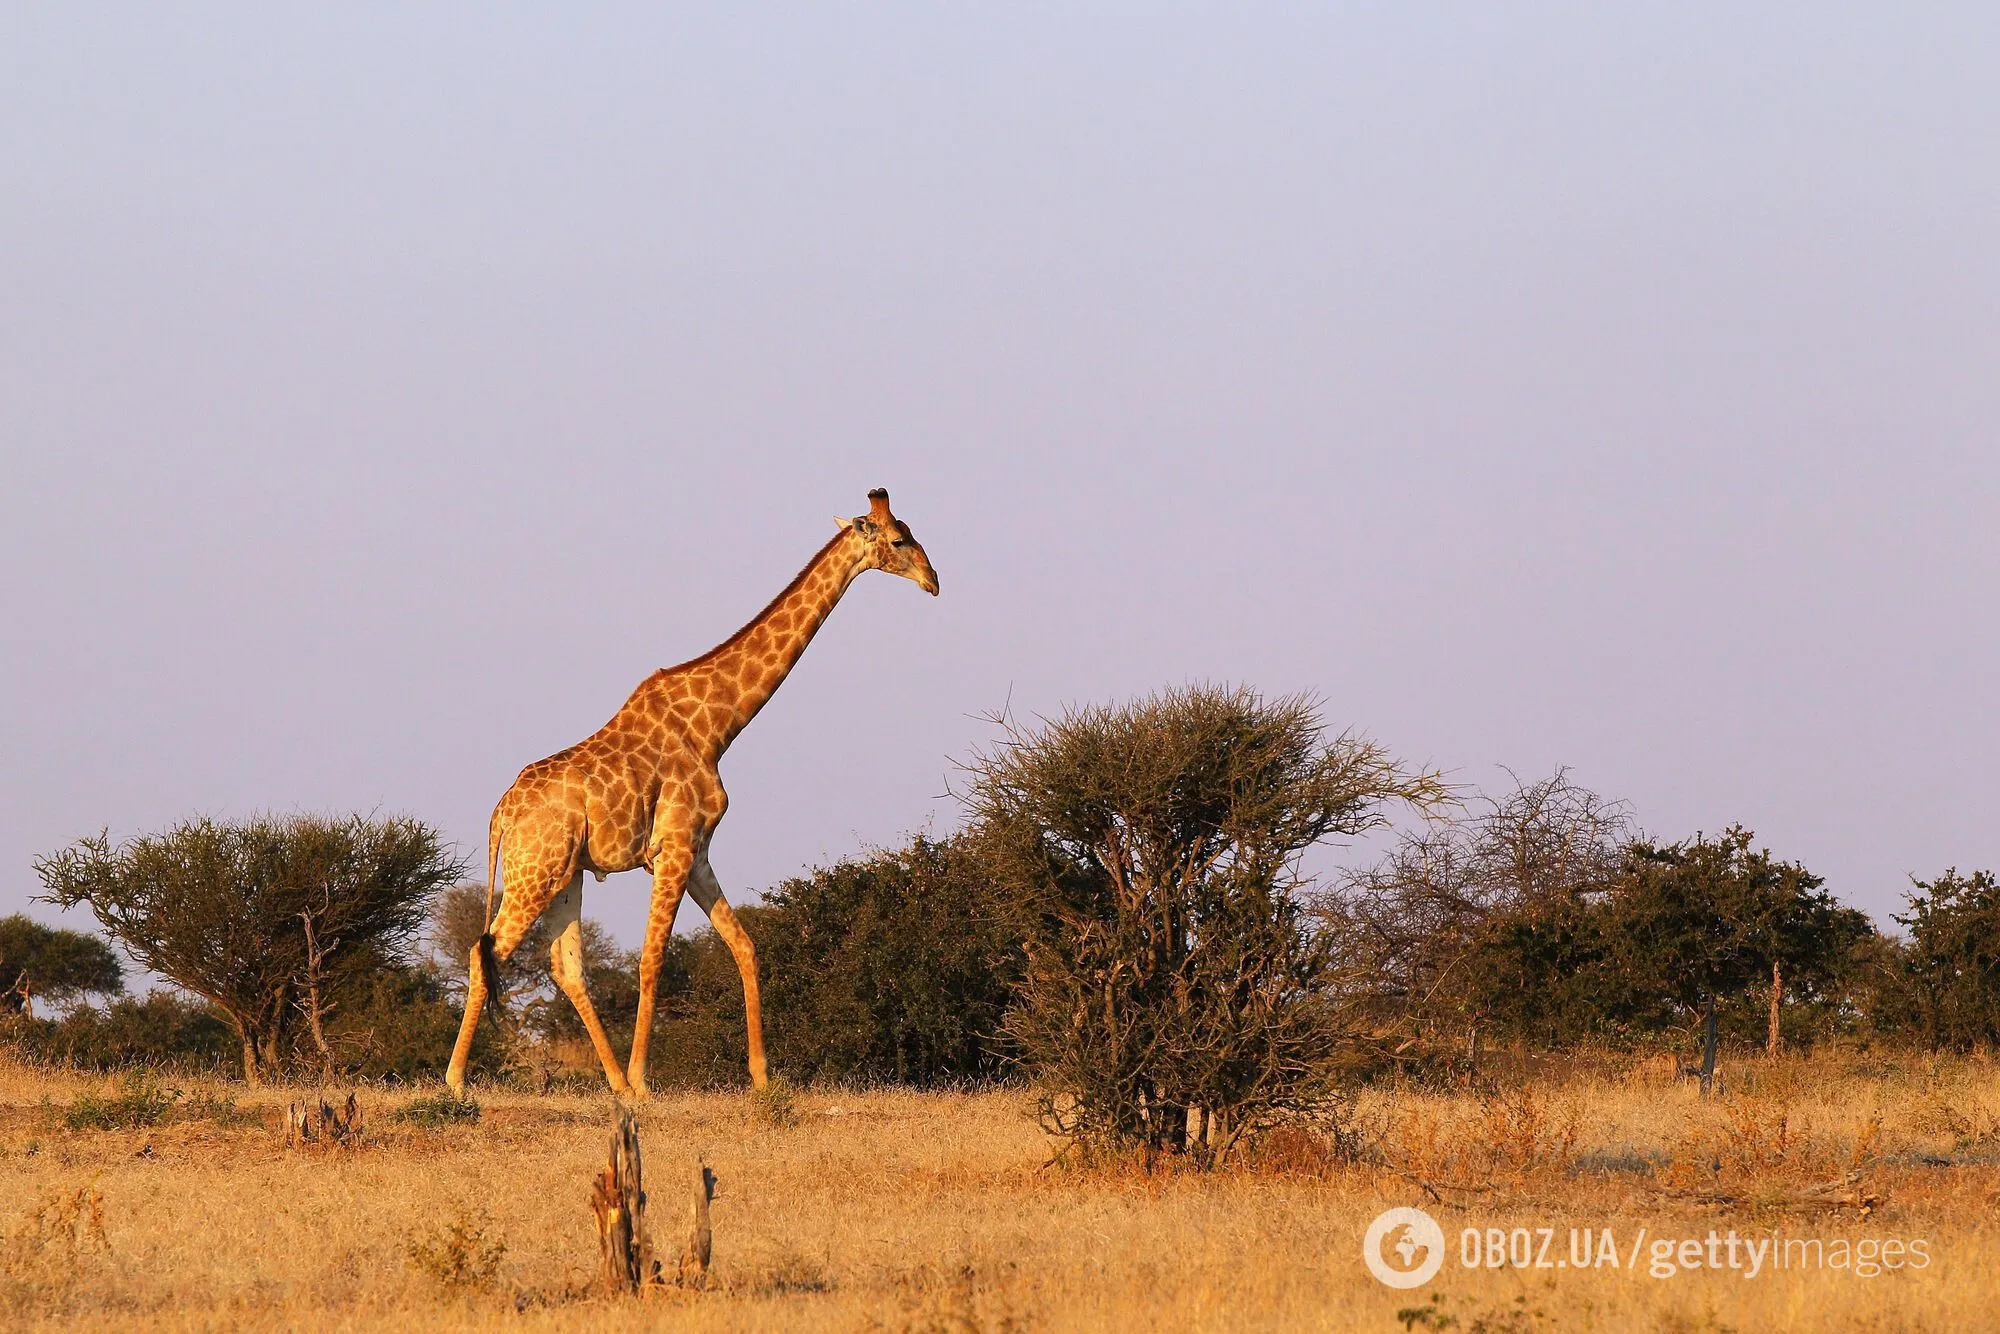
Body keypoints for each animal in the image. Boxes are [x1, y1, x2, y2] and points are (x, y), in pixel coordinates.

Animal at [446, 490, 936, 1096]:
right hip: (531, 874)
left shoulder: (699, 851)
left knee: (566, 967)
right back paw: (457, 1081)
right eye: (898, 540)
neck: (717, 727)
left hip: (565, 875)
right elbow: (652, 959)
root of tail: (500, 815)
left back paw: (614, 1083)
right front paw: (646, 1080)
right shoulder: (673, 847)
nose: (934, 581)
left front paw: (761, 1077)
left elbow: (745, 947)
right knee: (484, 950)